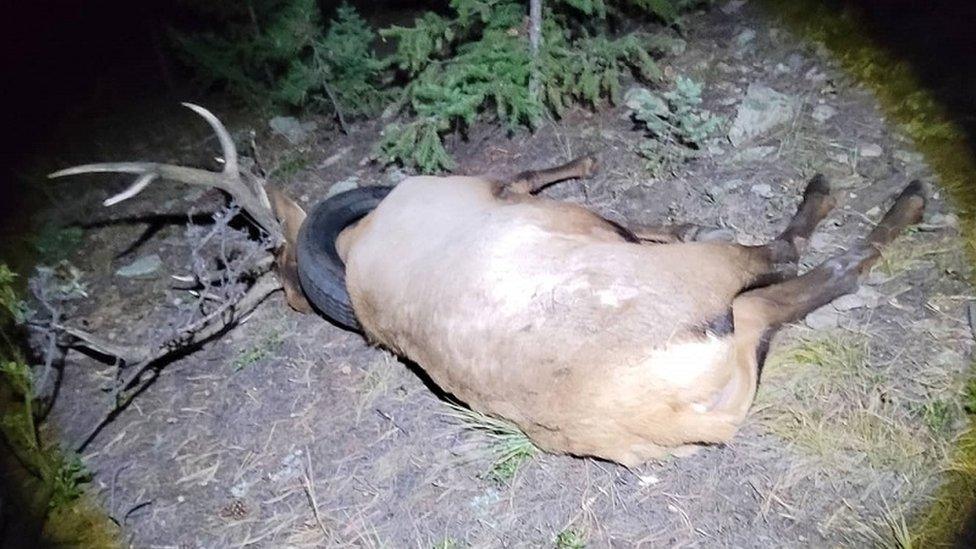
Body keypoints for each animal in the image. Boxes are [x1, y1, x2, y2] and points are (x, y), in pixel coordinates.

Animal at [52, 104, 926, 465]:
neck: (354, 235)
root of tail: (670, 412)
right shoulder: (498, 191)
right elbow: (546, 176)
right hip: (709, 288)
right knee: (794, 260)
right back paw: (885, 199)